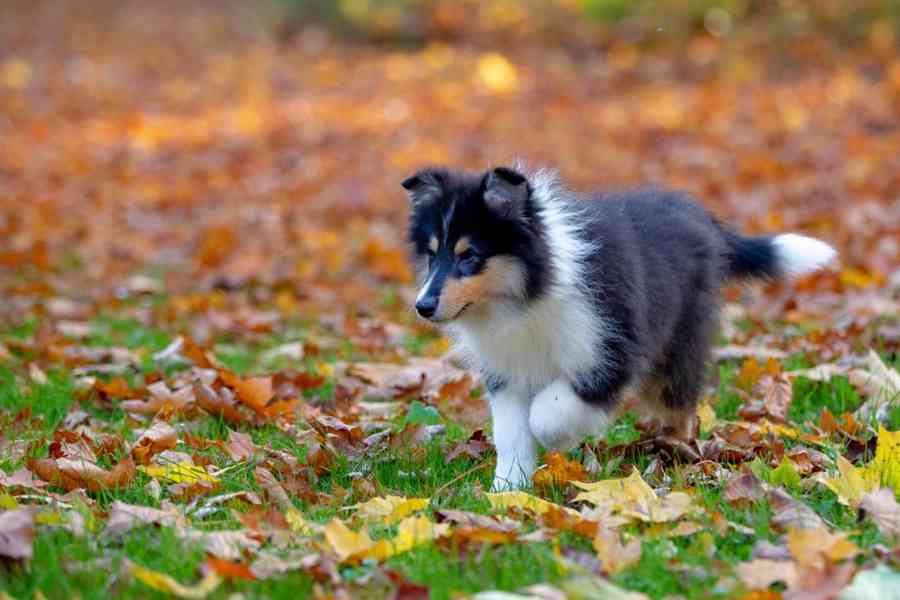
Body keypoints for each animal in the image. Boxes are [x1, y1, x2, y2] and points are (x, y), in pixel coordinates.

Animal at [404, 165, 832, 492]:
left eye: (469, 256)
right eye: (432, 255)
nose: (422, 306)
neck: (525, 299)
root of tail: (702, 218)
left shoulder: (610, 351)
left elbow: (548, 411)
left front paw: (558, 439)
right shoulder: (507, 371)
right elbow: (511, 433)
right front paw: (508, 489)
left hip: (677, 345)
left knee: (681, 406)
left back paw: (679, 454)